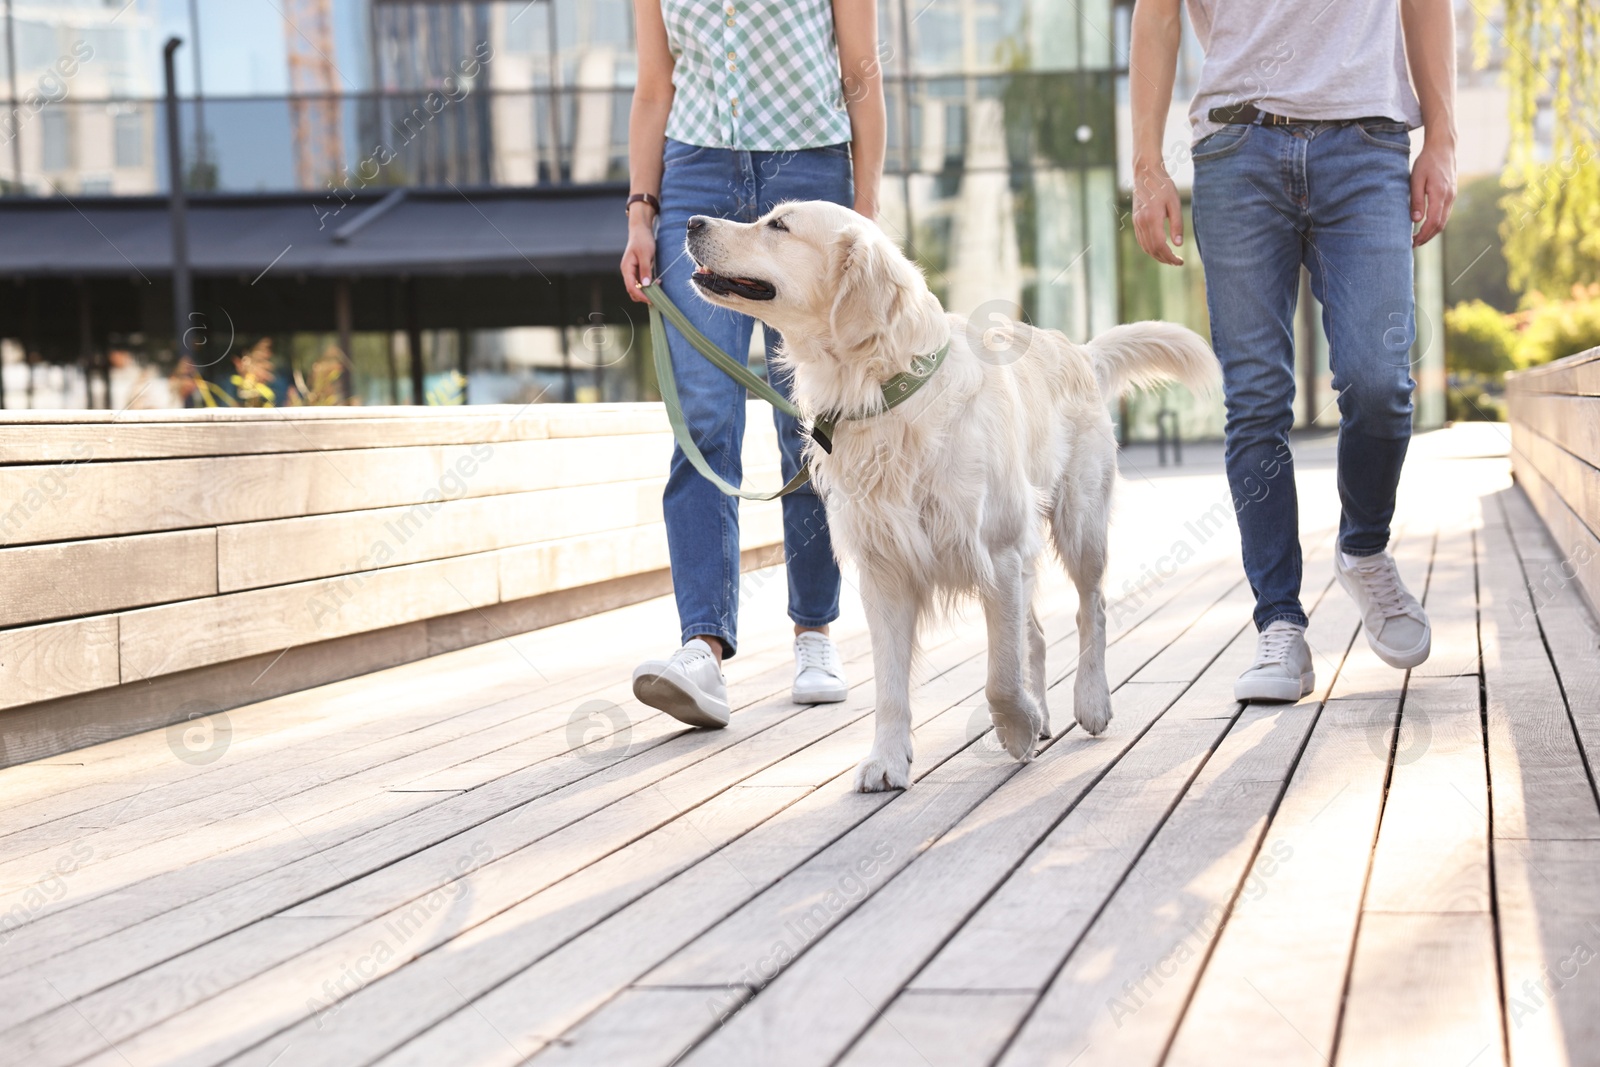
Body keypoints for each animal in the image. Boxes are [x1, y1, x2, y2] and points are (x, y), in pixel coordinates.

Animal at [681, 202, 1216, 793]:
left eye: (779, 226)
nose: (691, 222)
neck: (886, 389)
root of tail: (1079, 350)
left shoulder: (998, 551)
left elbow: (999, 675)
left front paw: (1015, 727)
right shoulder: (885, 566)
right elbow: (892, 685)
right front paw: (888, 759)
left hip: (1079, 522)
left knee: (1089, 610)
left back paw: (1089, 702)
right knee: (1034, 634)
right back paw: (1043, 714)